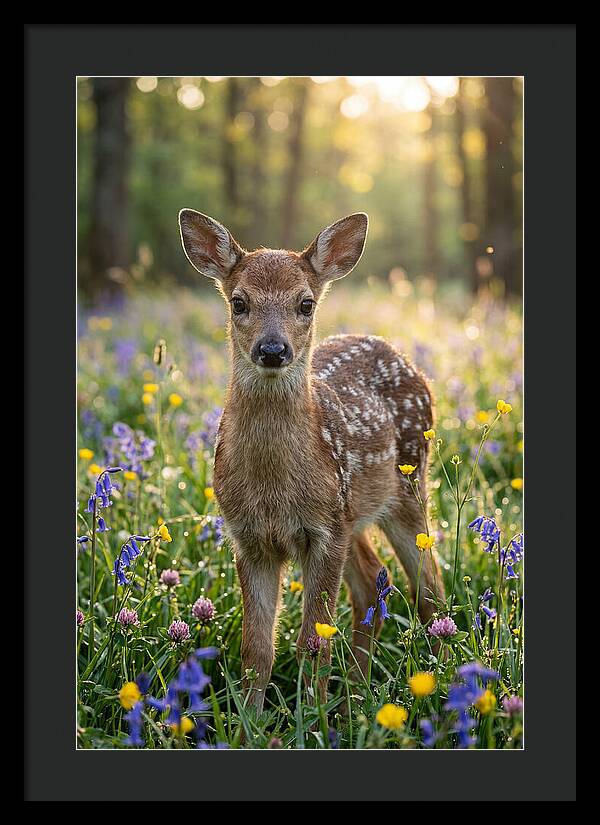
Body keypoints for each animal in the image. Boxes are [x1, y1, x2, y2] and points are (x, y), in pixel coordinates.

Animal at [178, 209, 444, 714]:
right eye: (238, 302)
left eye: (305, 304)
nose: (272, 349)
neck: (273, 489)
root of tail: (405, 360)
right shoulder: (249, 538)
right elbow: (256, 648)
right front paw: (250, 721)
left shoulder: (323, 532)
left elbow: (312, 641)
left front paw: (312, 718)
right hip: (353, 513)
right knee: (372, 582)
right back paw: (356, 696)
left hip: (405, 487)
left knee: (430, 589)